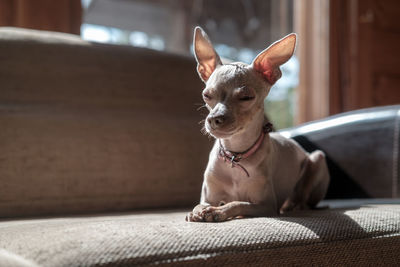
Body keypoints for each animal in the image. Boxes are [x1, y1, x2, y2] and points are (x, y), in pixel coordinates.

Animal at [186, 27, 330, 224]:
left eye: (246, 97)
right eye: (206, 95)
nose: (214, 119)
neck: (236, 154)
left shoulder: (266, 205)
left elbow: (238, 203)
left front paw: (219, 211)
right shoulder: (208, 197)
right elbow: (200, 205)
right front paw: (200, 211)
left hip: (317, 159)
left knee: (302, 199)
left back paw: (294, 205)